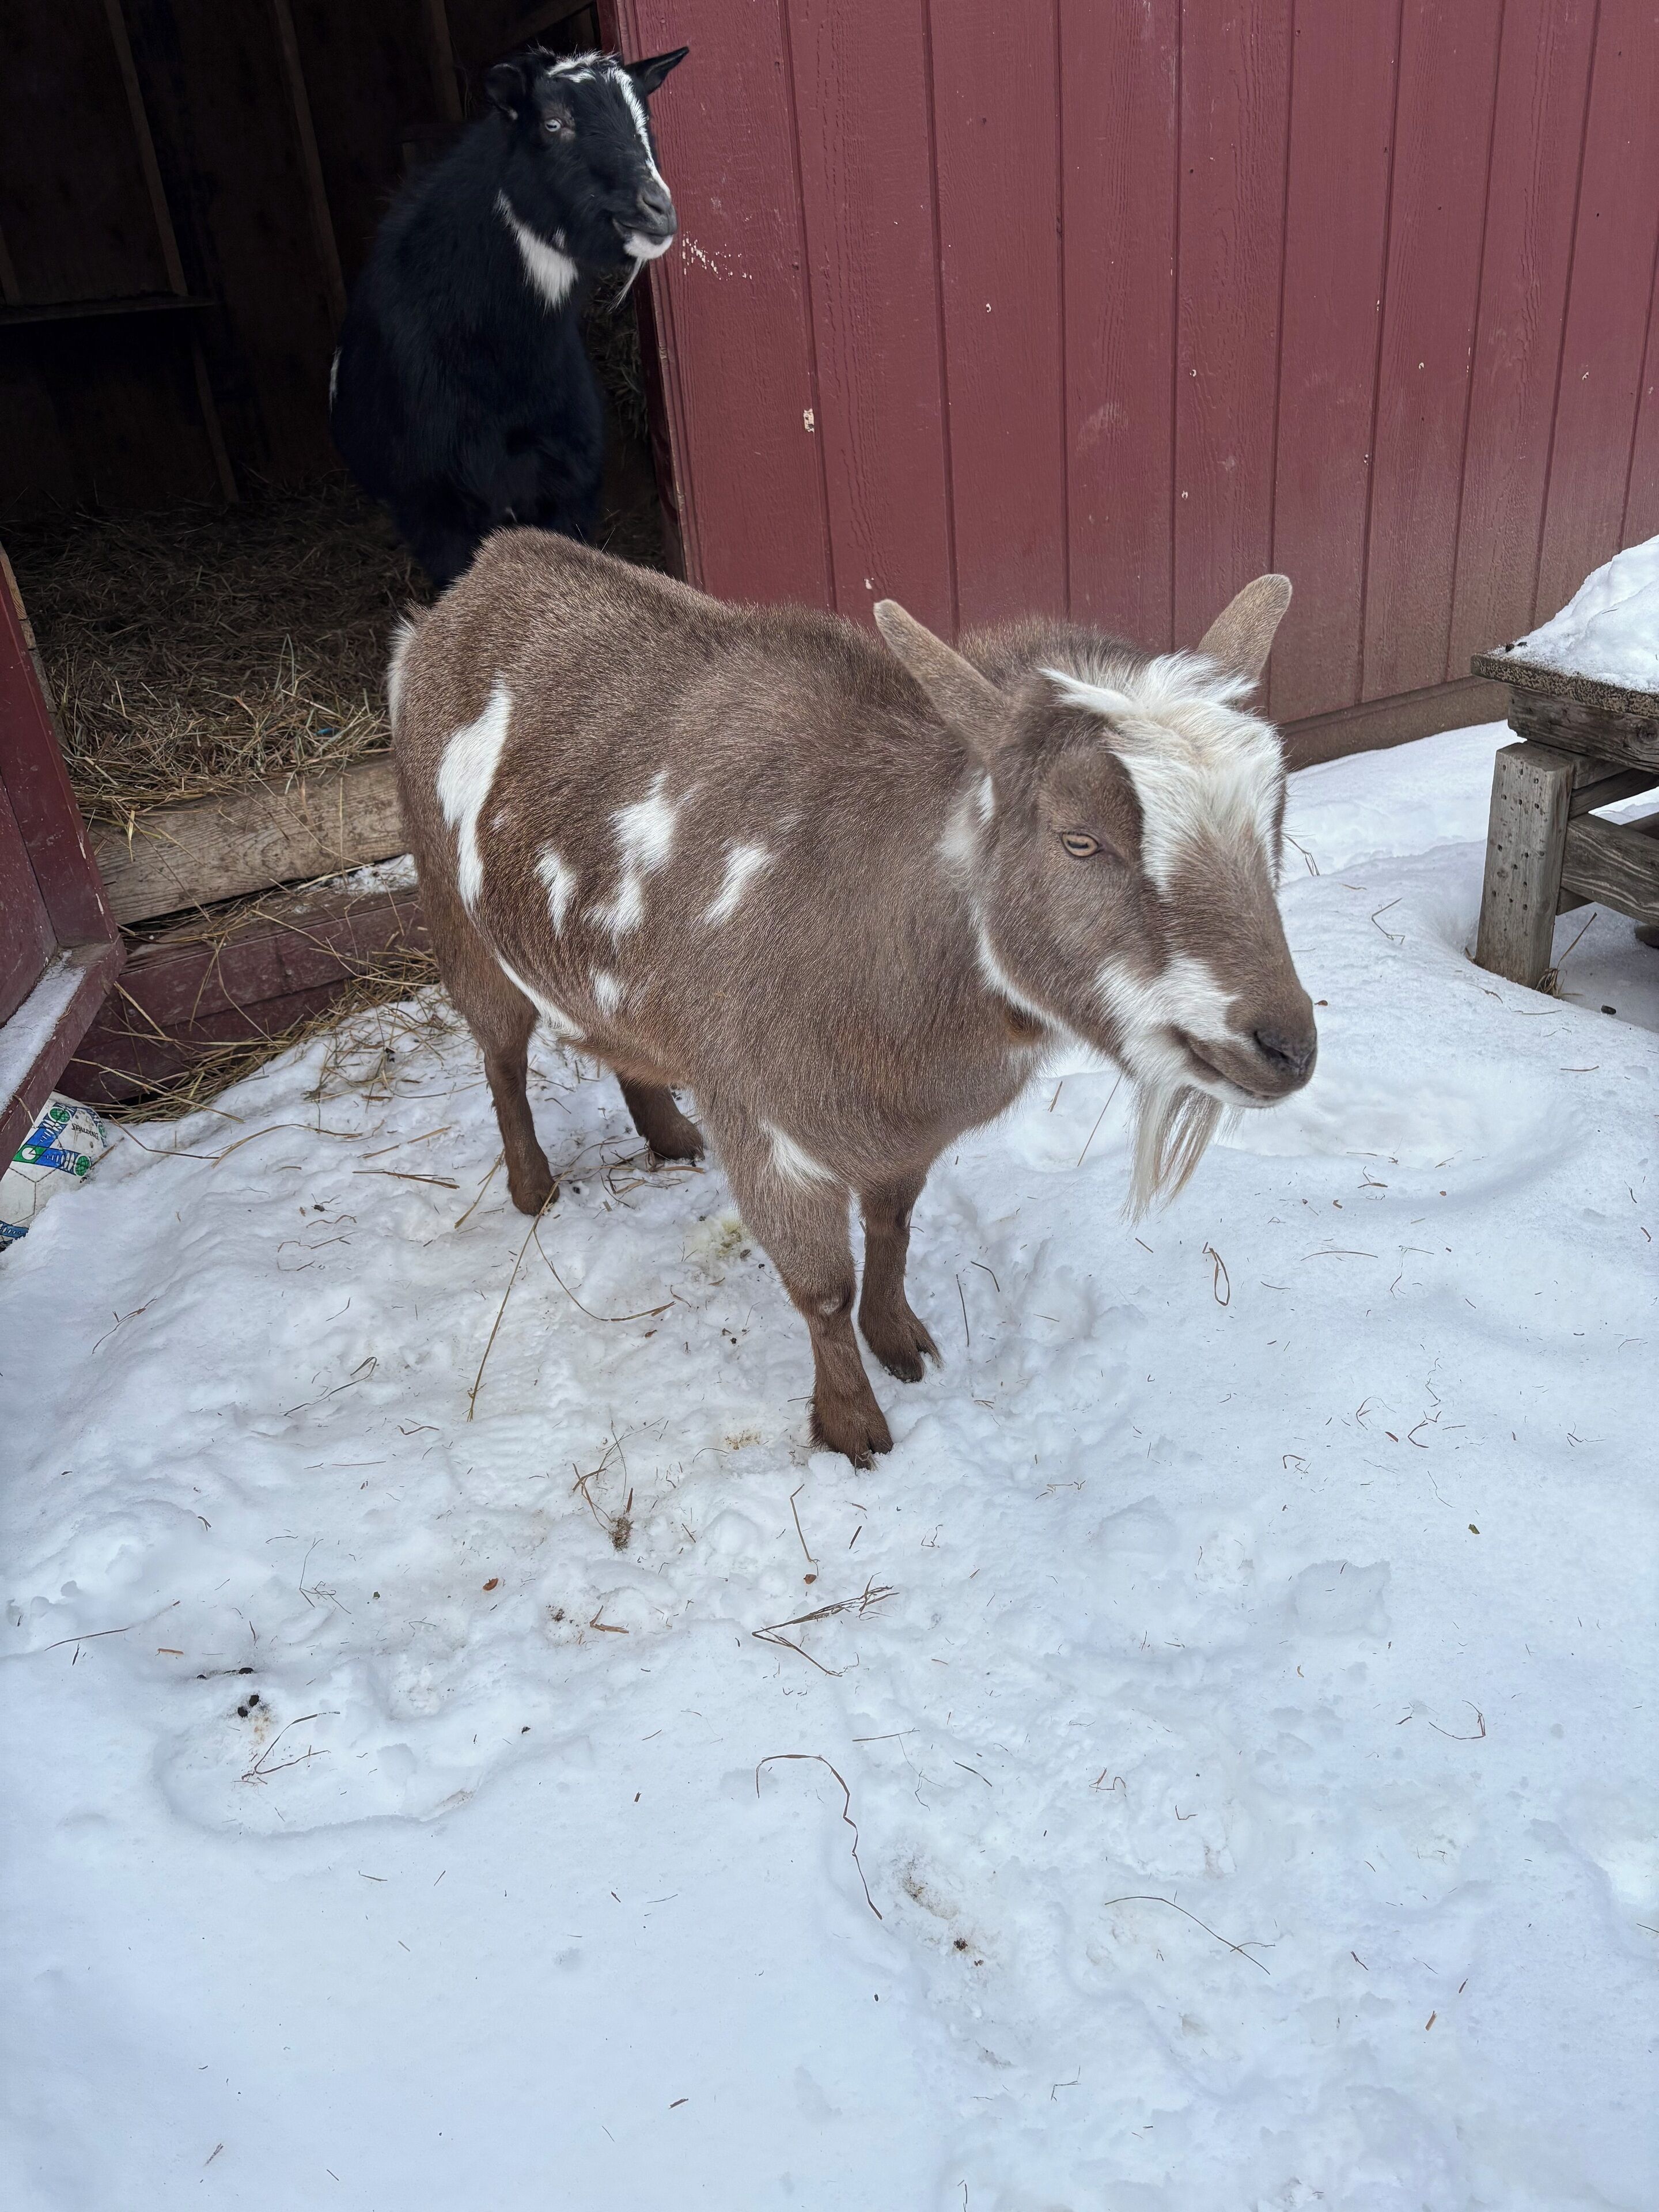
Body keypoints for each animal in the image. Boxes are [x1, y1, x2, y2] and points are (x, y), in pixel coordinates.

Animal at [392, 536, 1316, 1464]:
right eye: (1079, 840)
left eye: (1273, 815)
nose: (1286, 1046)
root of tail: (473, 581)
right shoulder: (765, 1123)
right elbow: (822, 1289)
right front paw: (852, 1427)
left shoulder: (902, 1129)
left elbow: (893, 1225)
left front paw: (900, 1338)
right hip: (452, 909)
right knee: (502, 1054)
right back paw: (532, 1185)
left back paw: (669, 1133)